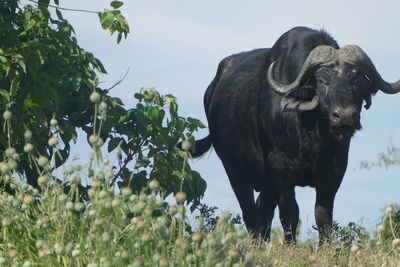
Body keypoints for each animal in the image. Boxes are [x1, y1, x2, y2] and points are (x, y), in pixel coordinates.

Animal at [190, 27, 400, 243]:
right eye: (322, 80)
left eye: (356, 80)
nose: (344, 116)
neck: (311, 133)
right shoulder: (279, 170)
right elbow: (290, 213)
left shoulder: (336, 169)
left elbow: (323, 214)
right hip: (234, 171)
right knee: (250, 213)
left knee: (263, 210)